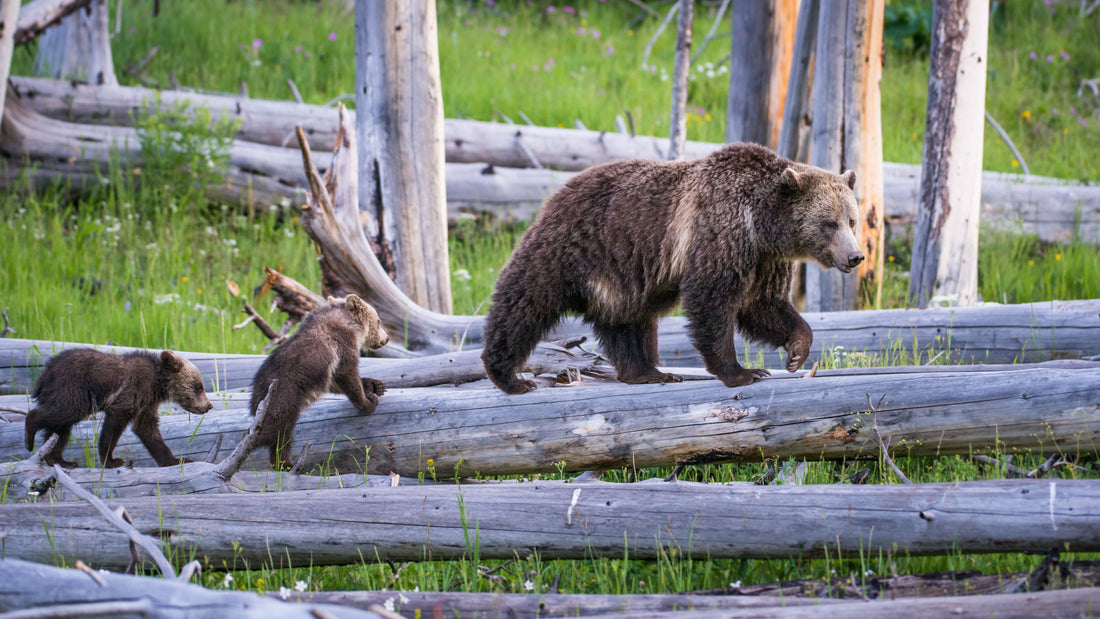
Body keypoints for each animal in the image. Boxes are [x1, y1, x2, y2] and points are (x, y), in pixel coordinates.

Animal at [25, 348, 214, 468]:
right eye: (199, 386)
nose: (208, 405)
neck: (157, 384)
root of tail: (45, 374)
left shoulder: (147, 403)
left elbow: (147, 429)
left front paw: (176, 460)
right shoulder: (132, 390)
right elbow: (114, 426)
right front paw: (112, 460)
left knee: (60, 431)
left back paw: (59, 460)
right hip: (72, 389)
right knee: (62, 413)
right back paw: (30, 438)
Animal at [248, 294, 390, 470]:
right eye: (379, 321)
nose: (386, 338)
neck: (350, 326)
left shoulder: (328, 367)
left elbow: (335, 382)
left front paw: (375, 385)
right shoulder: (343, 344)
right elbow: (346, 374)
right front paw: (368, 401)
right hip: (283, 399)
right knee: (280, 434)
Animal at [480, 142, 864, 394]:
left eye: (851, 220)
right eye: (829, 223)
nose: (855, 256)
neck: (760, 224)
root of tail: (560, 189)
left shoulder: (765, 259)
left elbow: (763, 305)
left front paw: (797, 350)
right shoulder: (719, 232)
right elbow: (712, 299)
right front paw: (742, 372)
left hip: (622, 275)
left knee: (628, 322)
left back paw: (648, 371)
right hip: (571, 246)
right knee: (525, 302)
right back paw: (509, 375)